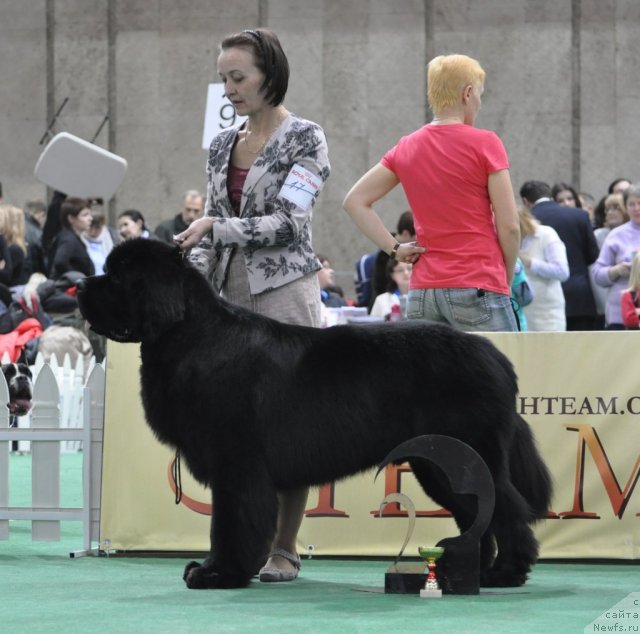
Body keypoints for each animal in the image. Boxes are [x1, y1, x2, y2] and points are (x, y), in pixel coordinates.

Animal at [79, 237, 552, 588]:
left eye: (117, 276)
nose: (80, 285)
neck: (191, 335)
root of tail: (496, 357)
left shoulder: (236, 463)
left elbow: (230, 523)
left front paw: (218, 573)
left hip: (460, 455)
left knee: (506, 507)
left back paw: (505, 573)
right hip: (441, 463)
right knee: (480, 513)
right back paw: (478, 573)